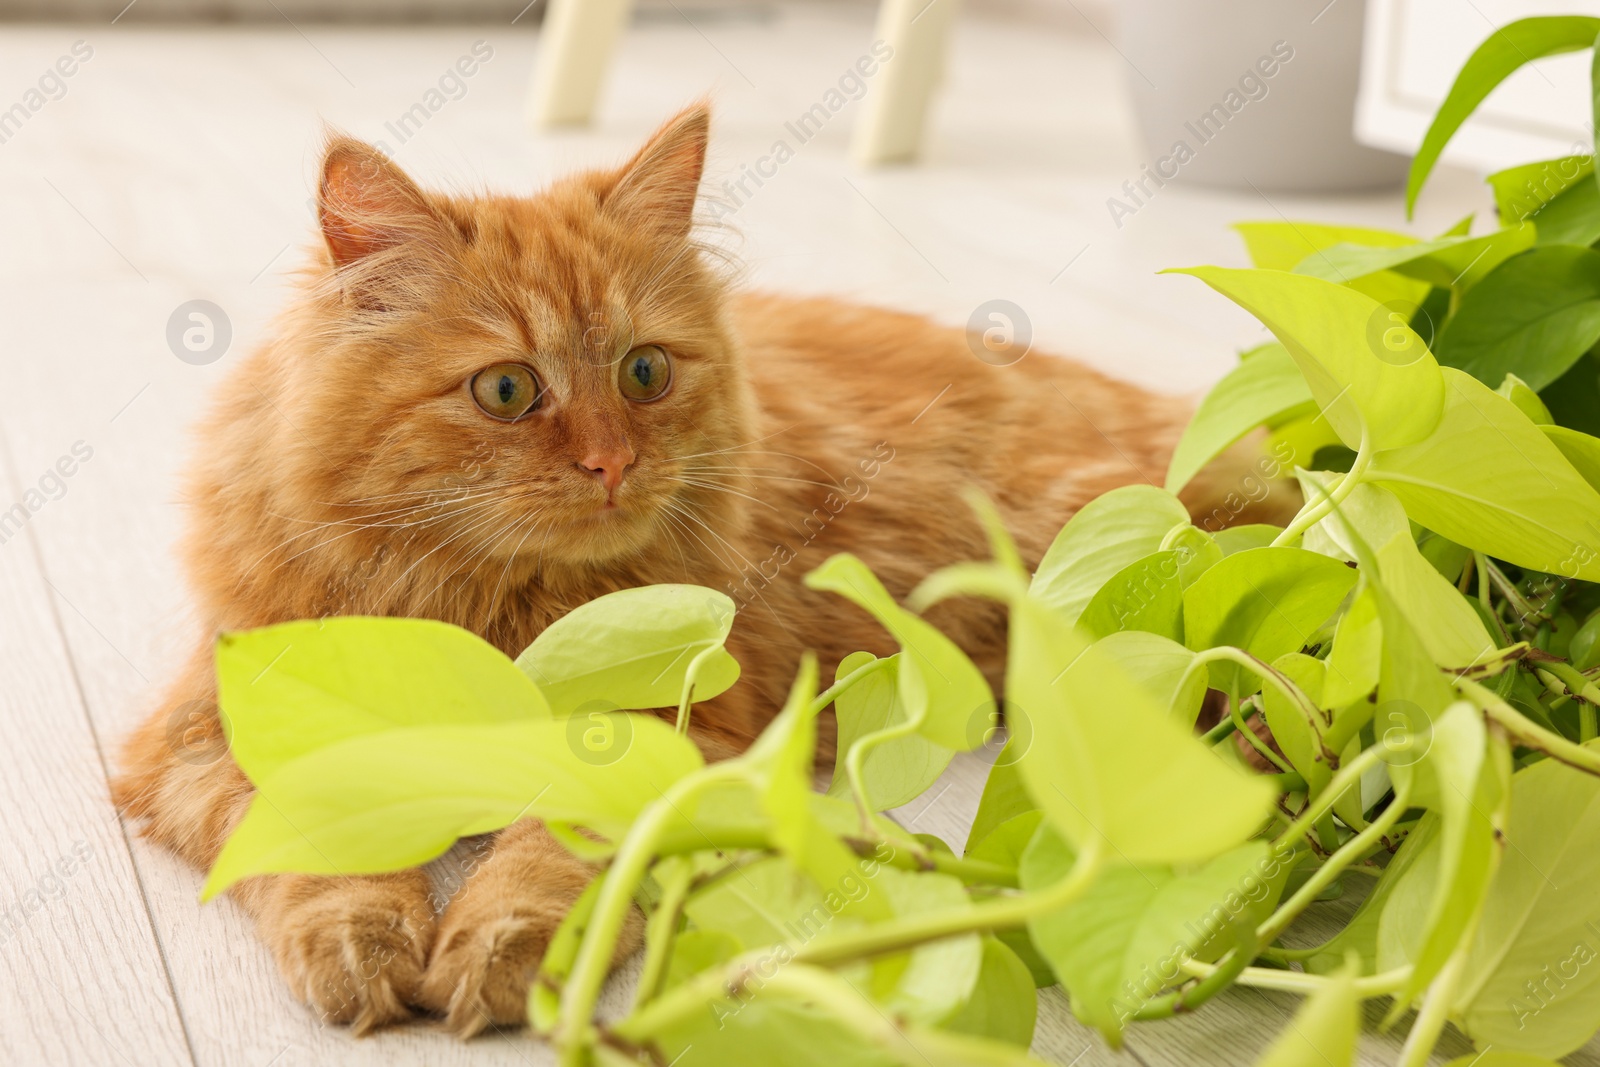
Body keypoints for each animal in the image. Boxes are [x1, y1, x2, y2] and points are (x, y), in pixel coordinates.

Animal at [118, 103, 1241, 1036]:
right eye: (506, 389)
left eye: (645, 372)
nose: (613, 462)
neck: (494, 600)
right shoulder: (209, 731)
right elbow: (320, 843)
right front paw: (362, 949)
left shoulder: (674, 732)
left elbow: (551, 859)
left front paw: (506, 953)